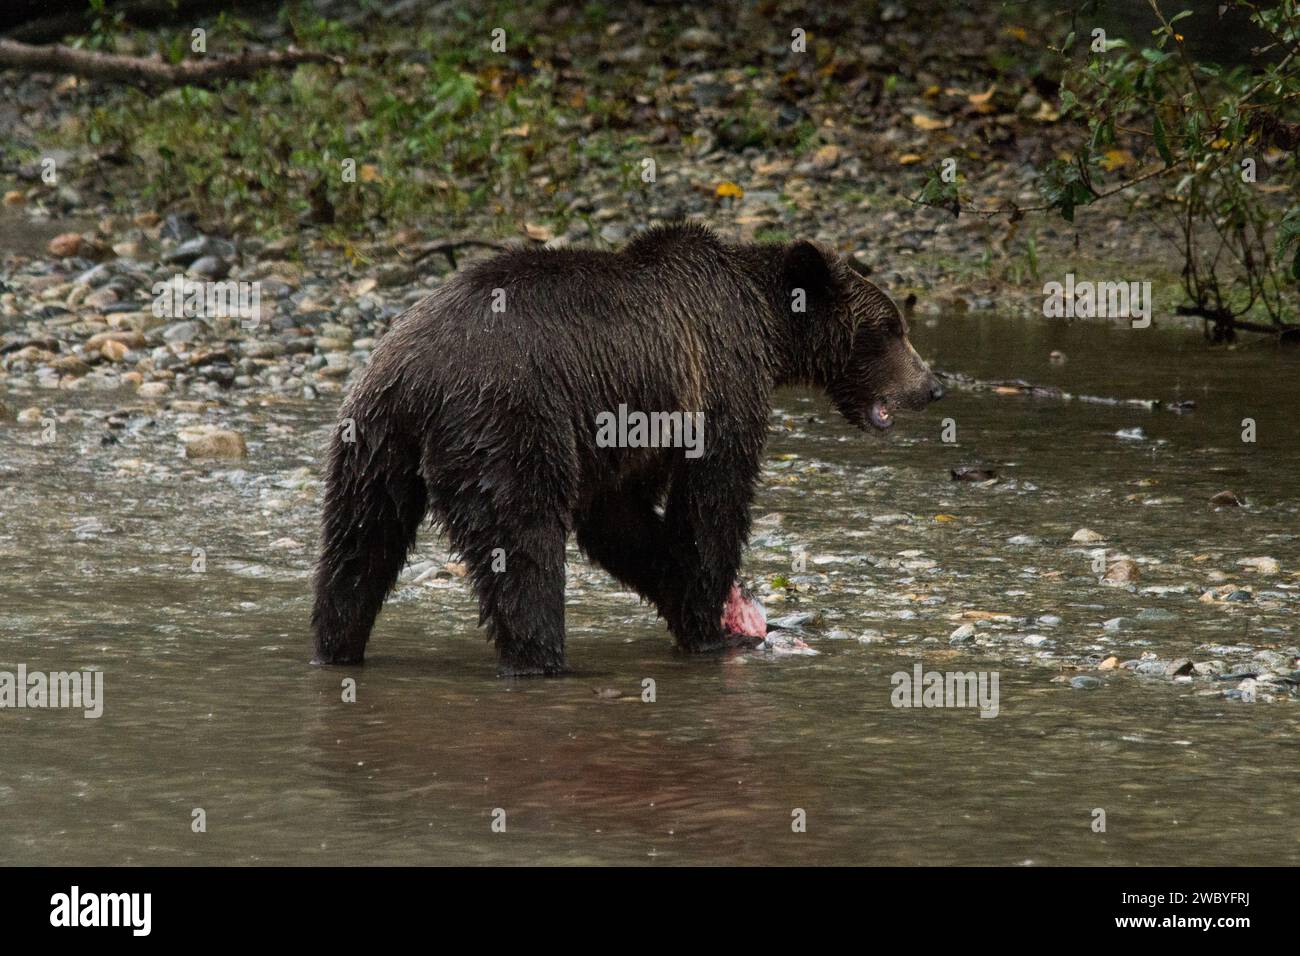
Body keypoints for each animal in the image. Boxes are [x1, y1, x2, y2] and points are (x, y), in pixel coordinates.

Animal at [314, 222, 946, 671]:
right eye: (890, 329)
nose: (932, 385)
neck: (765, 330)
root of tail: (419, 377)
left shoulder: (628, 431)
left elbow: (619, 519)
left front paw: (692, 602)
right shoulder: (716, 382)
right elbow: (712, 502)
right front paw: (712, 624)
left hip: (372, 441)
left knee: (358, 545)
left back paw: (335, 643)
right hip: (507, 421)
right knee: (521, 541)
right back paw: (542, 657)